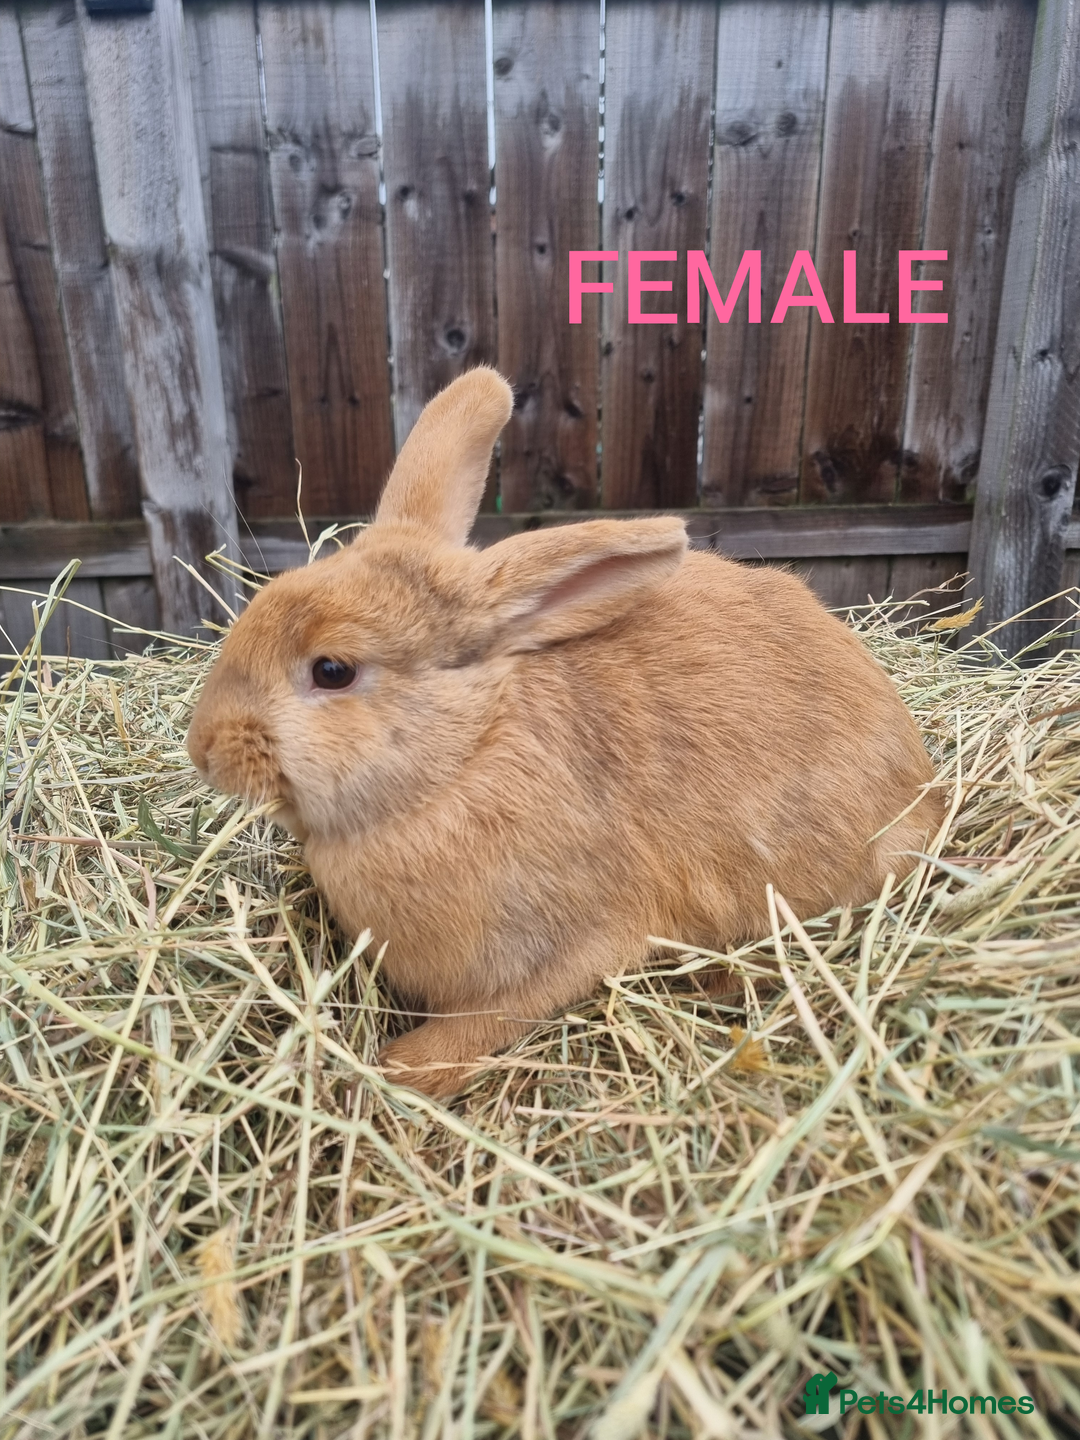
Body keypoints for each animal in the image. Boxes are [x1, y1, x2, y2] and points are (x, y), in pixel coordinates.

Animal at [186, 366, 945, 1099]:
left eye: (333, 670)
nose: (204, 749)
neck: (463, 759)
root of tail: (925, 785)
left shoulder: (579, 940)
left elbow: (495, 1015)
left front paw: (407, 1068)